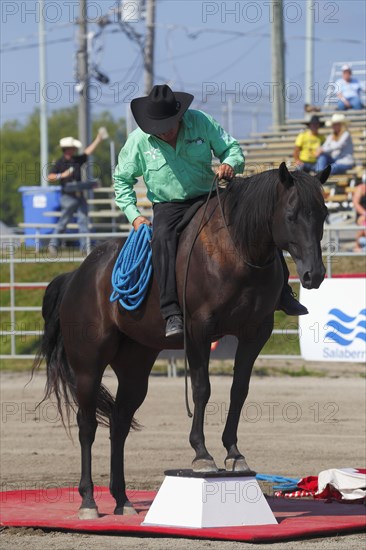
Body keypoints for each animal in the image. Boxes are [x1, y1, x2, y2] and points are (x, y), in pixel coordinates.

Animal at [34, 164, 330, 520]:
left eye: (324, 214)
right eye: (291, 214)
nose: (315, 274)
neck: (235, 250)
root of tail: (78, 275)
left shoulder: (255, 333)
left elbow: (239, 390)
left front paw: (233, 453)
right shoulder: (198, 332)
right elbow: (202, 389)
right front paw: (202, 454)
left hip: (135, 367)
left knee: (119, 424)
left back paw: (122, 499)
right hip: (88, 366)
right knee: (87, 425)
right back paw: (89, 500)